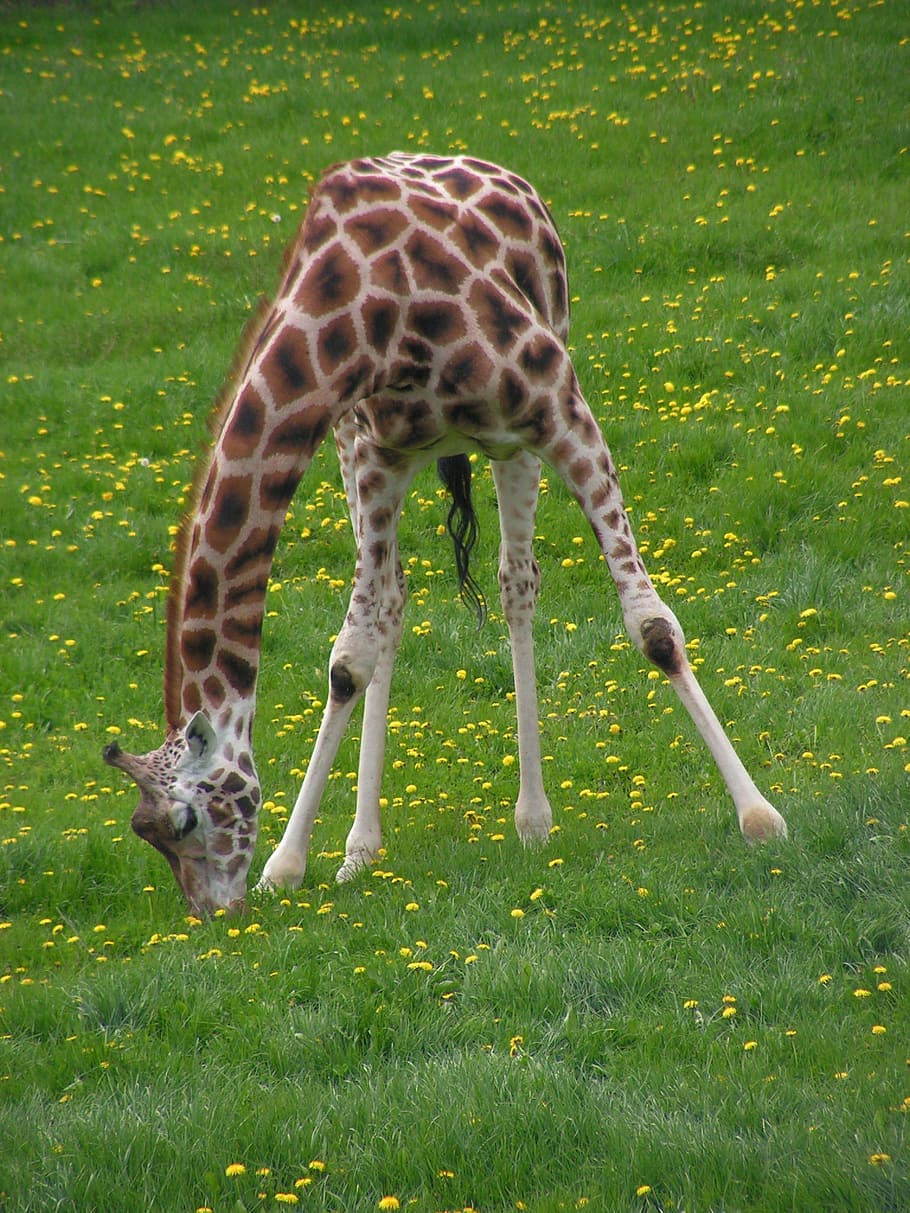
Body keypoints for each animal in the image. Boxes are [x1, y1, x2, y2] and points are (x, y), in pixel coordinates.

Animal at [104, 152, 786, 915]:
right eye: (144, 833)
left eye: (184, 820)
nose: (214, 912)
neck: (369, 315)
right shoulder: (376, 453)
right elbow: (351, 657)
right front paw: (289, 861)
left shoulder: (560, 409)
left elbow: (654, 628)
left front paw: (760, 815)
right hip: (363, 452)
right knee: (395, 603)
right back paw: (361, 847)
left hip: (513, 435)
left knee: (517, 582)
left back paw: (533, 818)